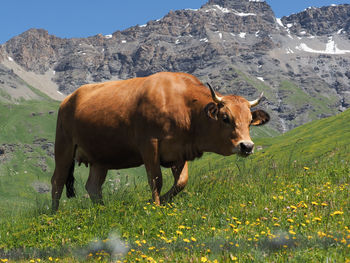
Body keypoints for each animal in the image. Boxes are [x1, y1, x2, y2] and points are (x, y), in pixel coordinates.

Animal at [50, 71, 270, 211]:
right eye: (225, 118)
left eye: (249, 121)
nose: (247, 146)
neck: (185, 107)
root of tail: (69, 98)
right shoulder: (150, 144)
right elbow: (156, 180)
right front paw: (155, 205)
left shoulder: (180, 151)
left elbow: (181, 182)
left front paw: (158, 202)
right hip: (63, 146)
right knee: (57, 181)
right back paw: (54, 214)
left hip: (101, 157)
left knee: (93, 187)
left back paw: (102, 210)